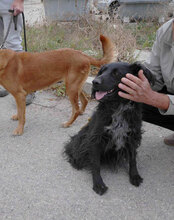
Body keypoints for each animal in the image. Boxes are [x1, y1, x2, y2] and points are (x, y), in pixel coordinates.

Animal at [64, 61, 154, 194]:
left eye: (116, 73)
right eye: (102, 71)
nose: (94, 82)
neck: (118, 106)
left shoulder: (132, 136)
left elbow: (133, 159)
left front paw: (134, 176)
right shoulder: (95, 138)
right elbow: (95, 164)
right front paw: (98, 184)